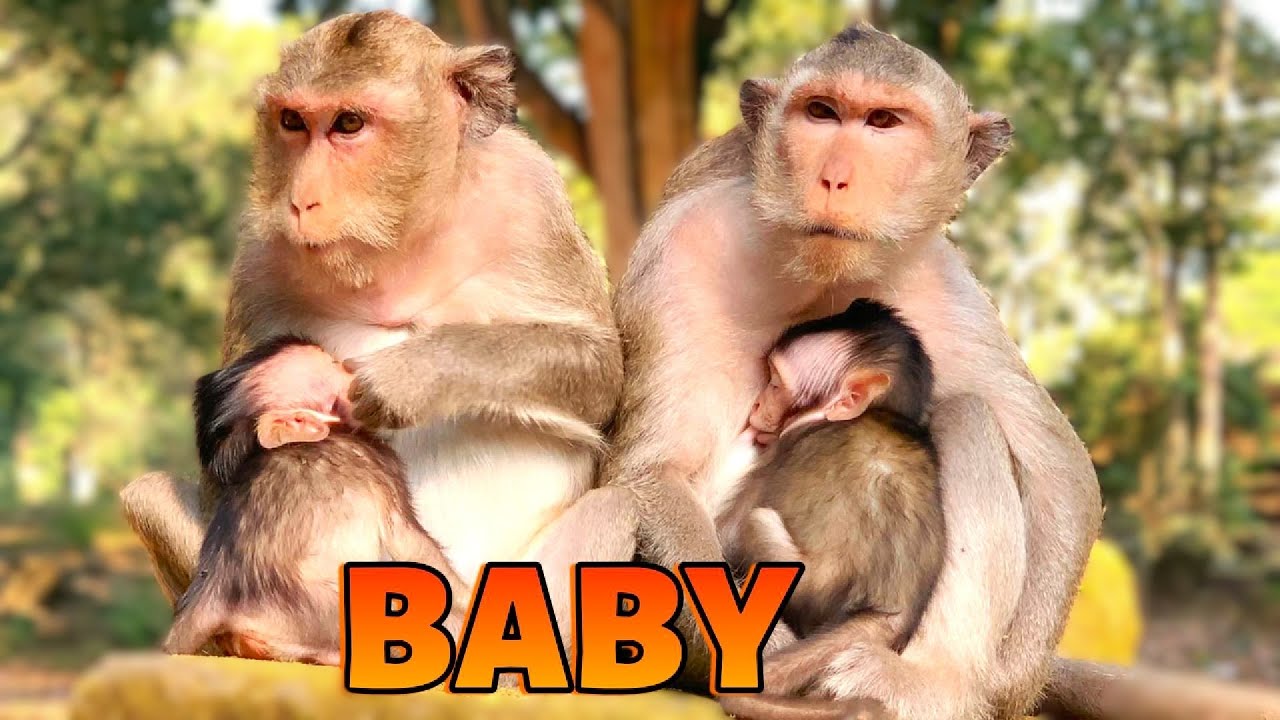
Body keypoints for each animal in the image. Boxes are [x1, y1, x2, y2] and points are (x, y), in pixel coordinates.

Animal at [165, 336, 469, 664]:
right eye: (334, 367)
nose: (351, 369)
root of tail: (212, 594)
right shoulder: (378, 465)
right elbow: (409, 541)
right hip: (317, 612)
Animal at [607, 23, 1101, 720]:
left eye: (883, 122)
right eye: (821, 113)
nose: (835, 179)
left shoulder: (936, 281)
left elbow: (1059, 471)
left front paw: (1007, 686)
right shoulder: (686, 250)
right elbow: (654, 474)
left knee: (967, 412)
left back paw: (931, 682)